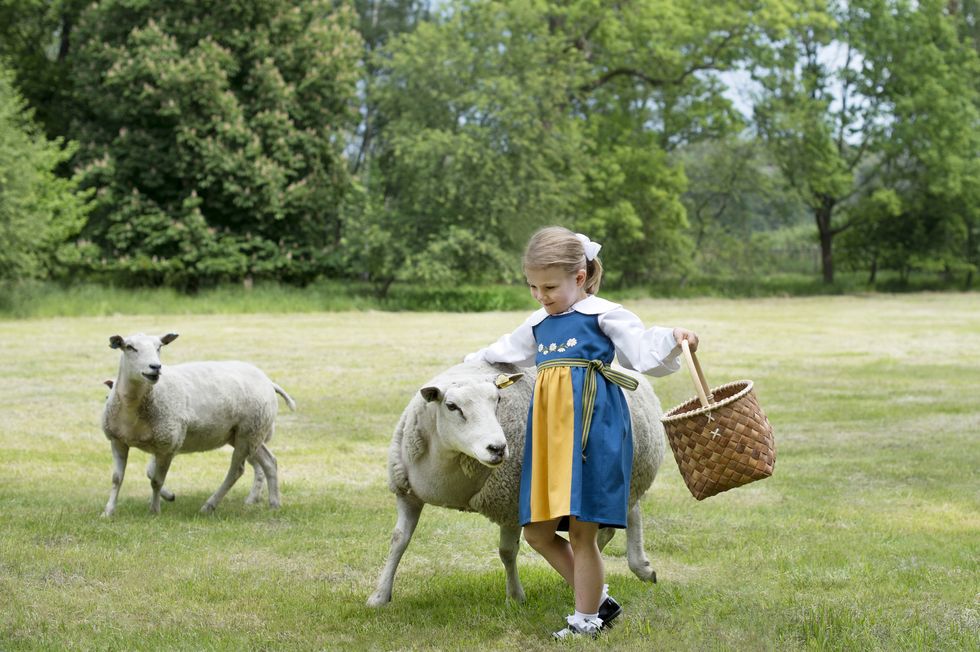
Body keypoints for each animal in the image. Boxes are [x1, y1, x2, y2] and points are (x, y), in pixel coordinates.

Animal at [102, 334, 298, 516]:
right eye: (129, 347)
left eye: (159, 347)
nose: (155, 367)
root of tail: (268, 381)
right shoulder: (118, 441)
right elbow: (117, 478)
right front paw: (108, 511)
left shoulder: (168, 445)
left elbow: (156, 480)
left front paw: (154, 510)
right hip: (248, 434)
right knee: (269, 462)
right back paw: (274, 503)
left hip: (249, 432)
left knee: (237, 470)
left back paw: (209, 505)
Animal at [370, 360, 668, 604]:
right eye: (452, 406)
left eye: (498, 400)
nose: (498, 448)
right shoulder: (407, 494)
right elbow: (398, 540)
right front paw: (379, 596)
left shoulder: (510, 504)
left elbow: (506, 552)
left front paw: (515, 596)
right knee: (617, 522)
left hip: (623, 477)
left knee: (627, 515)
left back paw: (635, 568)